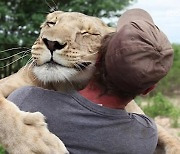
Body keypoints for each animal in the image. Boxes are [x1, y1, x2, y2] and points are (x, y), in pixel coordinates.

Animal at [0, 10, 179, 153]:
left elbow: (172, 140)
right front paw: (36, 145)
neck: (68, 85)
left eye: (87, 33)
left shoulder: (144, 118)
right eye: (51, 23)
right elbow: (4, 113)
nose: (51, 43)